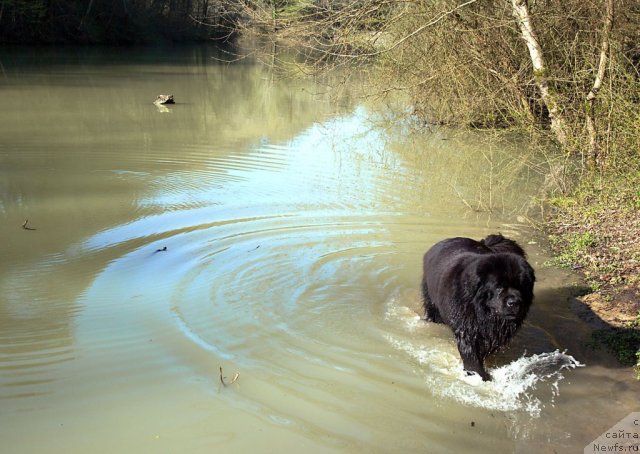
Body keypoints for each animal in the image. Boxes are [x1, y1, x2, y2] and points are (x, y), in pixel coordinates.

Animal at [420, 234, 536, 380]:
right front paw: (478, 375)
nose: (514, 302)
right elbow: (471, 354)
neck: (484, 314)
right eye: (499, 288)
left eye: (521, 287)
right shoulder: (467, 329)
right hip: (431, 302)